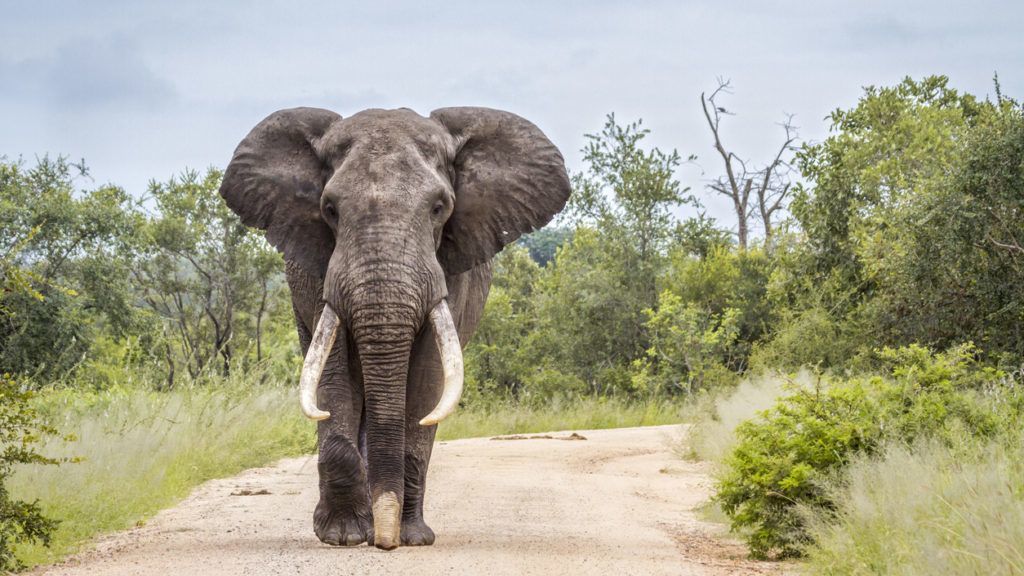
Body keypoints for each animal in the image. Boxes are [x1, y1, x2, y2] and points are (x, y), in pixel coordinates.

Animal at [219, 105, 573, 549]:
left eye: (439, 207)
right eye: (330, 209)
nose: (384, 543)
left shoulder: (448, 271)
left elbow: (425, 381)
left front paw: (409, 537)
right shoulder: (320, 270)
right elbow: (333, 376)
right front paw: (344, 535)